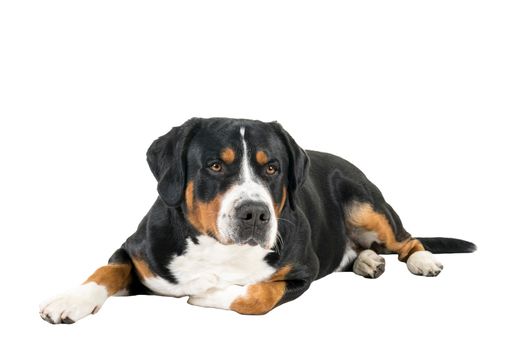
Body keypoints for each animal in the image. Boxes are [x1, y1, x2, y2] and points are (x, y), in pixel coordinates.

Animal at [37, 118, 474, 326]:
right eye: (215, 165)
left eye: (272, 168)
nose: (255, 213)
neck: (216, 249)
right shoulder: (135, 252)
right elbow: (105, 270)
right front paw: (69, 301)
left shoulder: (301, 270)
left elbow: (257, 296)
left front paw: (208, 294)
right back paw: (367, 260)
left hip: (366, 202)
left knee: (406, 239)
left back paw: (421, 260)